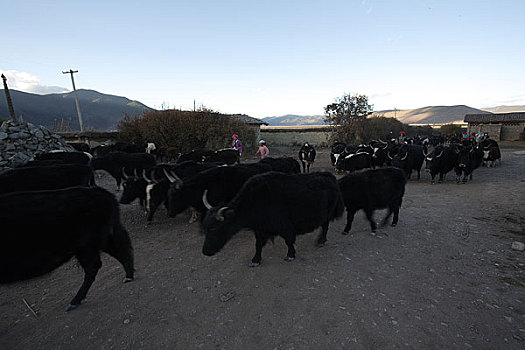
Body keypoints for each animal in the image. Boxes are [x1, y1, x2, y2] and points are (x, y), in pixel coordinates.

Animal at [0, 187, 134, 310]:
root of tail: (103, 194)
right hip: (103, 239)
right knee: (122, 251)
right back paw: (129, 276)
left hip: (86, 246)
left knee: (95, 266)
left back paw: (74, 302)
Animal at [202, 172, 344, 266]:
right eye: (205, 228)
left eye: (214, 228)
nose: (205, 252)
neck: (253, 201)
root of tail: (330, 177)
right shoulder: (259, 230)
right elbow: (258, 245)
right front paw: (255, 260)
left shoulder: (285, 226)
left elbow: (289, 240)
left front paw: (290, 255)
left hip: (328, 213)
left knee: (325, 226)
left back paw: (321, 241)